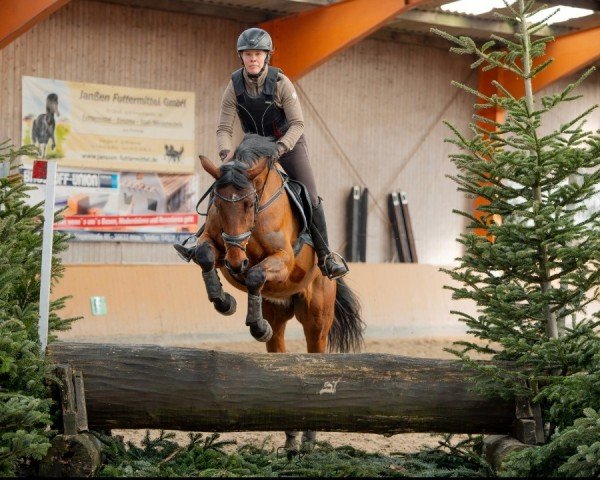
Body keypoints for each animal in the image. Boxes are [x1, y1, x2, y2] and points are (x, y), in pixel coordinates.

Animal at [195, 133, 364, 452]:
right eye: (218, 204)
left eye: (249, 203)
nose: (235, 262)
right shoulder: (217, 242)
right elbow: (204, 254)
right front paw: (224, 301)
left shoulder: (282, 259)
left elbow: (255, 273)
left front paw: (252, 320)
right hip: (279, 313)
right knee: (279, 356)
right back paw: (291, 440)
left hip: (317, 319)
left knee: (316, 357)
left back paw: (308, 439)